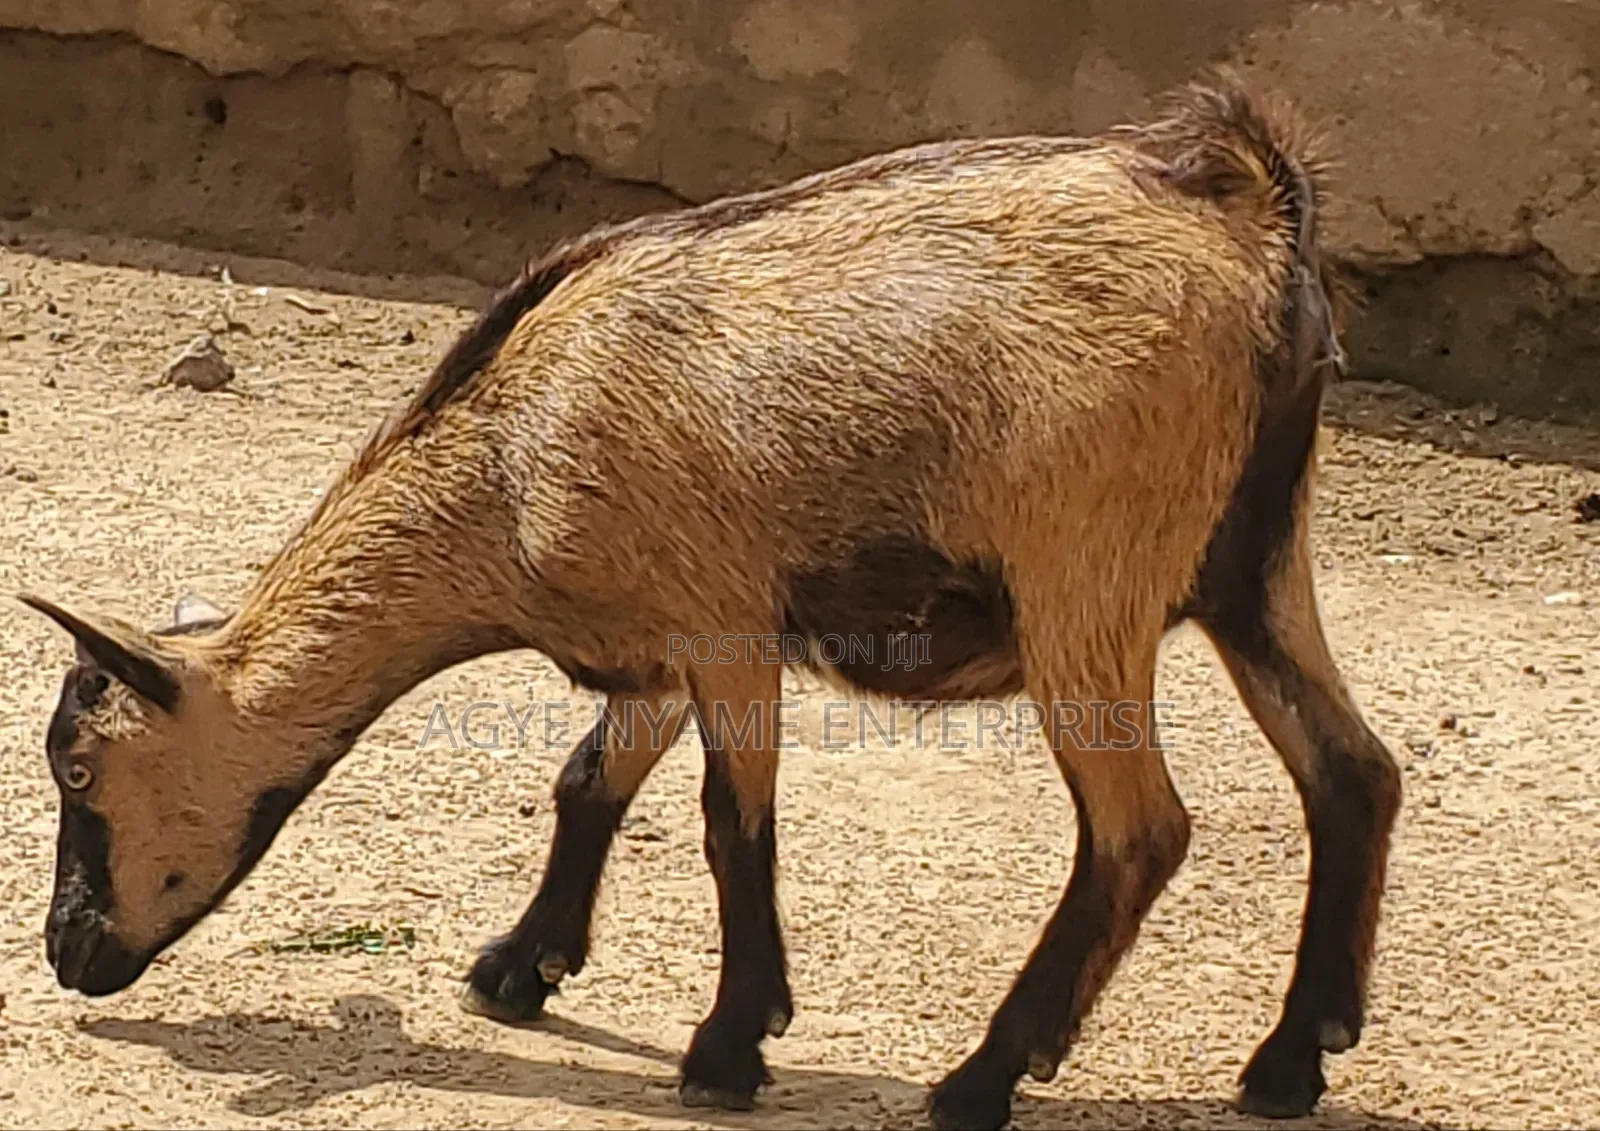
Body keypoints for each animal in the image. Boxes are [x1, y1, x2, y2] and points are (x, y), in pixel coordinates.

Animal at [20, 69, 1399, 1131]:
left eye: (80, 769)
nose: (66, 953)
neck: (508, 463)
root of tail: (1253, 215)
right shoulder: (651, 648)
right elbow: (590, 779)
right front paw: (517, 971)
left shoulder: (726, 618)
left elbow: (731, 826)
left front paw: (730, 1047)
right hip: (1253, 562)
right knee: (1353, 772)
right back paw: (1290, 1061)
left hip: (1085, 575)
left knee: (1139, 830)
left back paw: (983, 1077)